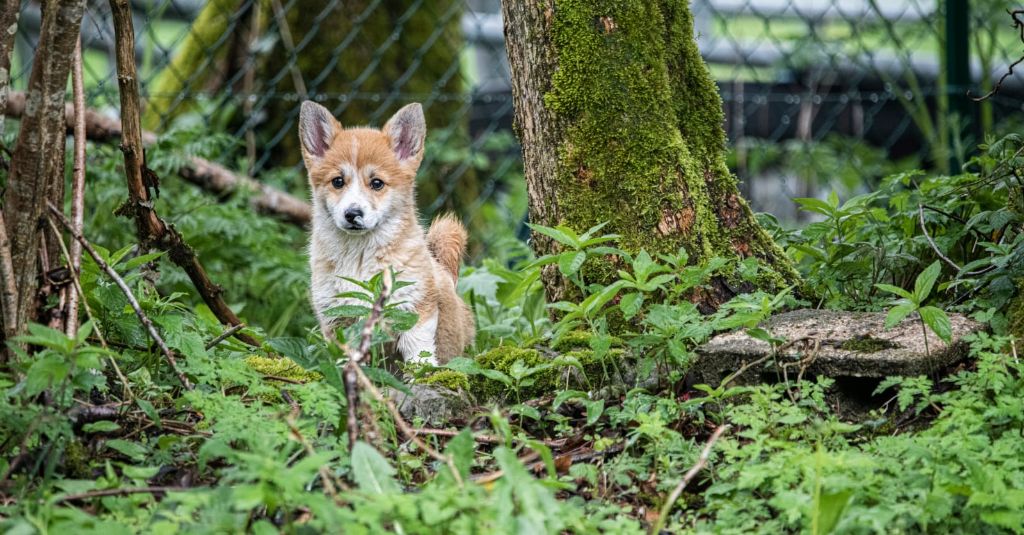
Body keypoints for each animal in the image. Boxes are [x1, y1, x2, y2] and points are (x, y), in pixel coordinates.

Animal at [299, 100, 475, 364]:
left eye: (377, 183)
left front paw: (422, 371)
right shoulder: (335, 318)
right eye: (338, 181)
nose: (352, 213)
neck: (359, 256)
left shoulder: (415, 308)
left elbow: (418, 353)